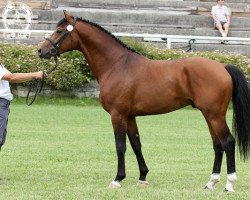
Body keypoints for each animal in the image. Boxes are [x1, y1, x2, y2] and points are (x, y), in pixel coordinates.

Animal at [37, 10, 250, 192]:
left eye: (59, 31)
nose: (41, 50)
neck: (117, 65)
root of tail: (223, 66)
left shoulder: (118, 115)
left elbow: (120, 146)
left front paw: (117, 179)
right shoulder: (130, 116)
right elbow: (136, 145)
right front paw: (142, 177)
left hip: (215, 115)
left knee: (228, 142)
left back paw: (229, 184)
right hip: (209, 115)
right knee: (217, 145)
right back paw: (211, 183)